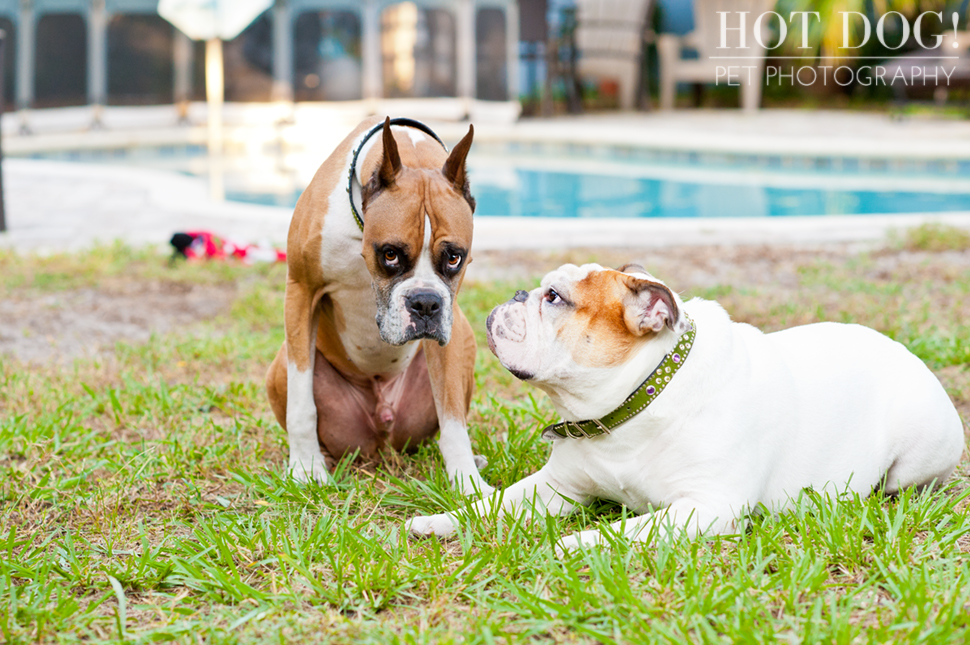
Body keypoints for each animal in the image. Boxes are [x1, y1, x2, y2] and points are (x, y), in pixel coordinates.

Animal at [264, 115, 492, 494]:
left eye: (454, 258)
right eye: (390, 254)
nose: (425, 303)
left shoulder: (450, 330)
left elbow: (452, 417)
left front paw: (468, 483)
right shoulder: (300, 291)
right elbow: (301, 403)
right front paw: (305, 468)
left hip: (466, 343)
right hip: (281, 362)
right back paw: (322, 458)